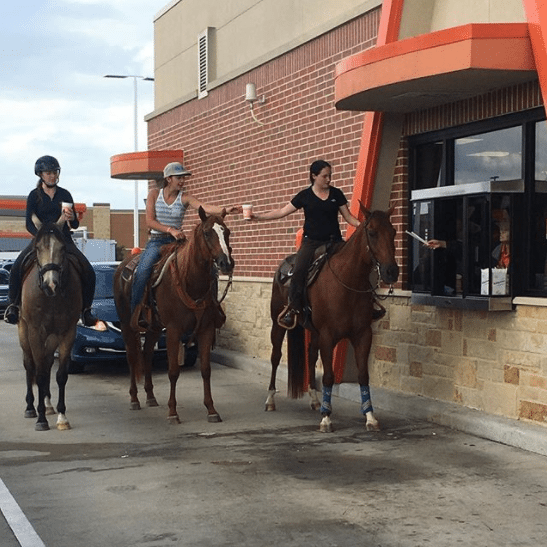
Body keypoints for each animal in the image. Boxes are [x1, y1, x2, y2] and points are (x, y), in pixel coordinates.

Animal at [18, 215, 82, 432]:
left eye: (62, 248)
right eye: (38, 248)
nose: (51, 284)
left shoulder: (67, 333)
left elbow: (60, 374)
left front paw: (62, 417)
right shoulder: (35, 332)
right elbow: (39, 373)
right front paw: (41, 419)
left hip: (52, 337)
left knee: (45, 364)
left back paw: (47, 405)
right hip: (24, 331)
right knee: (31, 365)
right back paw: (31, 407)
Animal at [114, 208, 234, 426]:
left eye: (227, 232)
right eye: (207, 233)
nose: (226, 263)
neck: (190, 281)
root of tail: (121, 267)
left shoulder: (205, 329)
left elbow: (206, 370)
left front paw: (211, 410)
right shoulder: (173, 330)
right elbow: (173, 371)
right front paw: (172, 412)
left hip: (153, 327)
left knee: (147, 353)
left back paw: (150, 396)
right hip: (128, 324)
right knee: (132, 356)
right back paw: (134, 399)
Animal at [268, 206, 400, 432]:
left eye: (393, 232)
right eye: (372, 232)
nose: (391, 271)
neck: (347, 281)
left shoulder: (363, 335)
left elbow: (363, 375)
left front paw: (370, 416)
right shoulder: (328, 336)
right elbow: (329, 376)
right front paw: (326, 418)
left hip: (313, 331)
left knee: (311, 356)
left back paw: (314, 400)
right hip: (278, 326)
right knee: (275, 357)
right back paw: (270, 400)